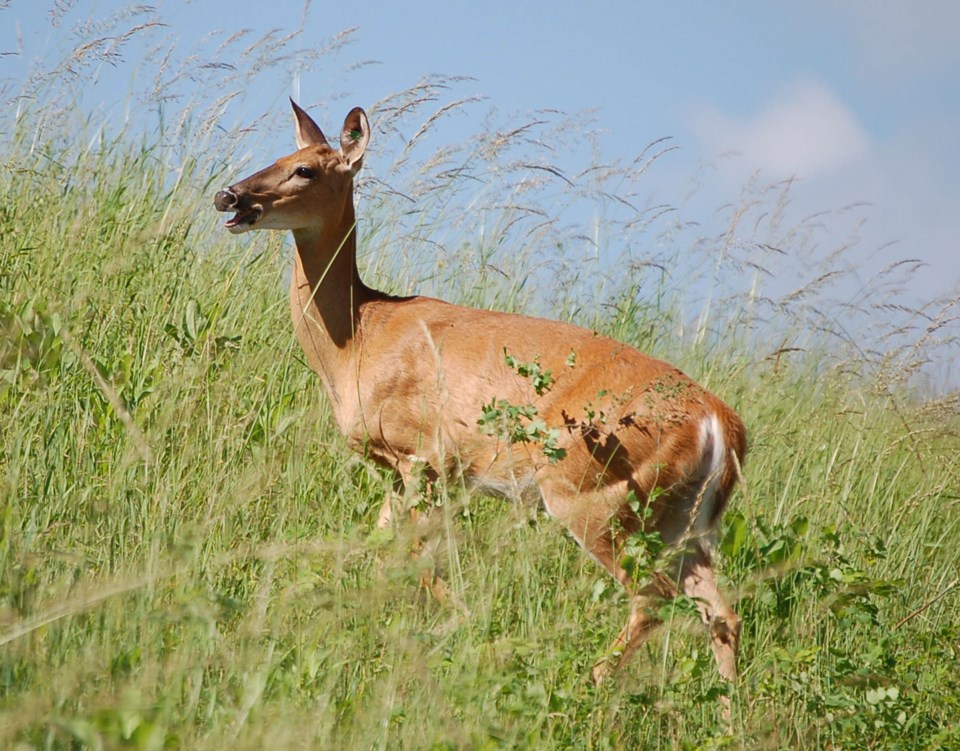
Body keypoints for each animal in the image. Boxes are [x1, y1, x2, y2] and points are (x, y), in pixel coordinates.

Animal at [214, 101, 748, 692]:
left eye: (306, 169)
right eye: (278, 155)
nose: (229, 195)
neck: (358, 338)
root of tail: (720, 423)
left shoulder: (423, 455)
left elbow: (414, 556)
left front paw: (463, 628)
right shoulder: (398, 469)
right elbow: (379, 545)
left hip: (593, 494)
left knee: (653, 598)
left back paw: (588, 684)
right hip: (683, 519)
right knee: (721, 612)